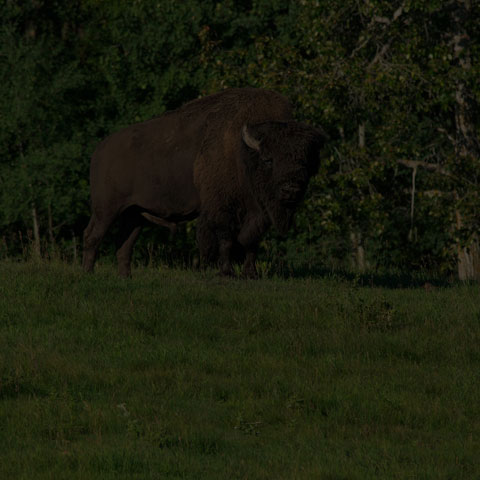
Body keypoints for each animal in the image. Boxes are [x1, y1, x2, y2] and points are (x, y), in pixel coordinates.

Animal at [82, 87, 326, 278]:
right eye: (268, 159)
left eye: (306, 163)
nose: (291, 190)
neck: (243, 153)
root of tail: (100, 150)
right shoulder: (222, 208)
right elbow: (226, 240)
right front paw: (227, 272)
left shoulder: (259, 214)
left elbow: (251, 242)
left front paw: (251, 274)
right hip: (106, 210)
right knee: (92, 236)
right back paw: (88, 274)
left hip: (134, 214)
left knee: (124, 244)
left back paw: (126, 277)